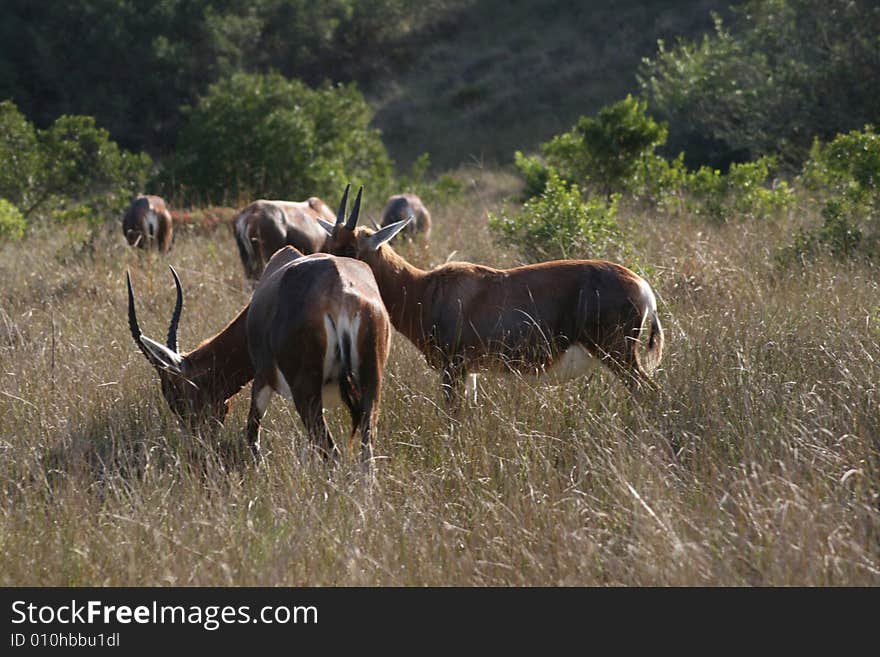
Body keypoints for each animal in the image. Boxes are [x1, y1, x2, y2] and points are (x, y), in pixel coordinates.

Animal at [127, 197, 392, 464]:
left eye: (175, 393)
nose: (197, 443)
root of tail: (340, 293)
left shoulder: (261, 379)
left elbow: (252, 438)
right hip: (371, 388)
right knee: (365, 452)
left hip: (306, 394)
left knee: (331, 452)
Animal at [320, 182, 664, 402]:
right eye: (329, 244)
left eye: (350, 249)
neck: (427, 288)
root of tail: (643, 288)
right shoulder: (469, 372)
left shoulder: (453, 369)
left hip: (617, 354)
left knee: (650, 392)